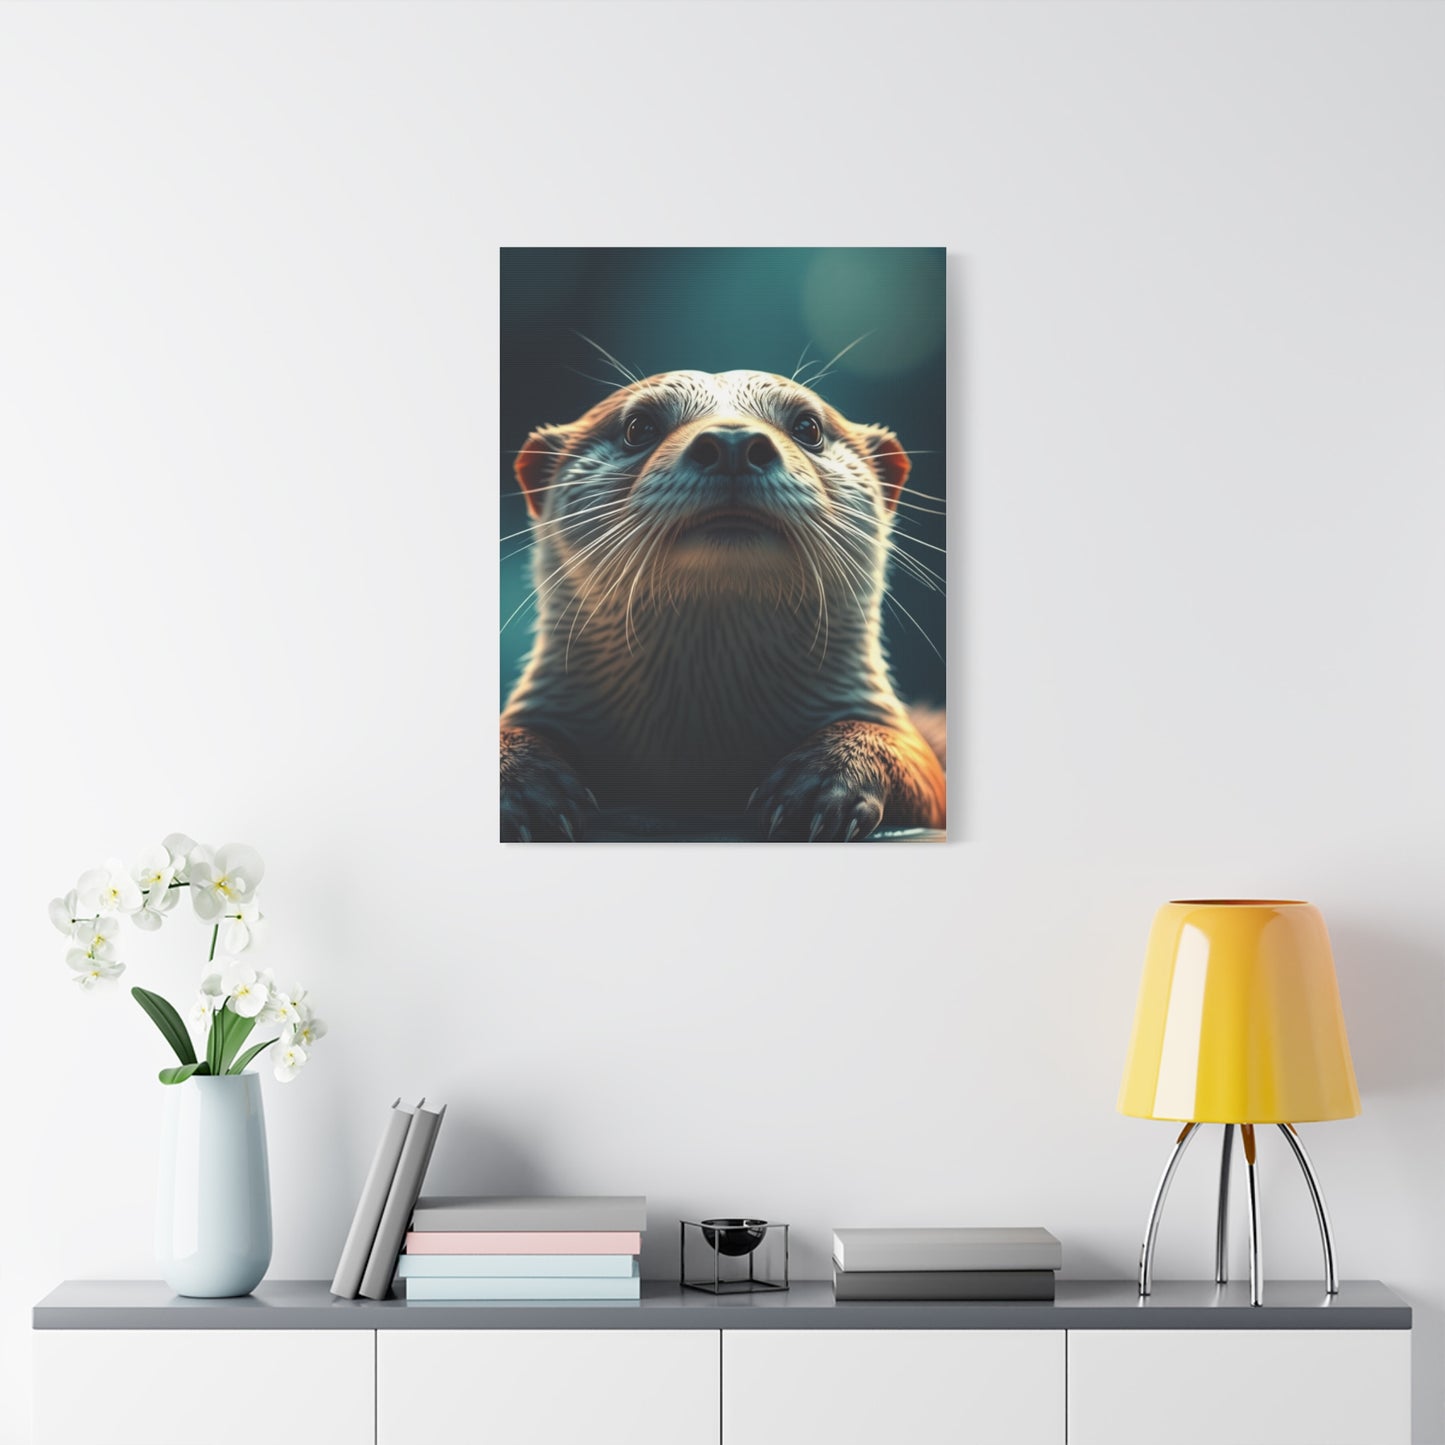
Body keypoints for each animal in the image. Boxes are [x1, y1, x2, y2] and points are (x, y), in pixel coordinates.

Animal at [500, 369, 946, 841]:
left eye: (808, 427)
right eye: (638, 427)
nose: (734, 442)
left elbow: (917, 760)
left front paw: (826, 781)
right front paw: (523, 787)